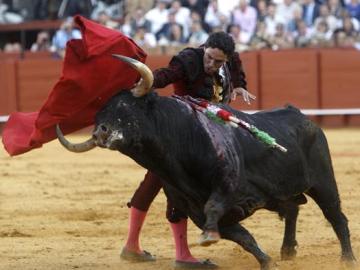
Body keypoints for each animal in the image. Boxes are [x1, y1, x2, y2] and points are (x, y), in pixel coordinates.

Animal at [56, 90, 354, 270]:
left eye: (125, 107)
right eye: (97, 115)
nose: (101, 132)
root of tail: (302, 116)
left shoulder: (224, 188)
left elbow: (217, 211)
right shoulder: (196, 209)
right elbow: (242, 237)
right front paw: (267, 261)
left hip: (323, 182)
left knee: (336, 217)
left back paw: (347, 259)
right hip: (283, 190)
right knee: (292, 209)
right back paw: (288, 250)